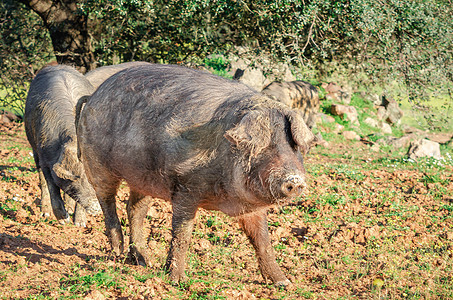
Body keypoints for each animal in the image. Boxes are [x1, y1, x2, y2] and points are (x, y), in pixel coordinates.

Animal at [24, 64, 100, 226]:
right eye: (76, 178)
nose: (96, 207)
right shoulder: (45, 156)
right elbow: (51, 186)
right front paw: (64, 220)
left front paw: (80, 224)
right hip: (34, 146)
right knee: (41, 179)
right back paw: (45, 214)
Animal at [77, 63, 312, 286]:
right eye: (265, 146)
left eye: (293, 147)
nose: (295, 180)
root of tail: (94, 96)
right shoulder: (185, 186)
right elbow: (182, 234)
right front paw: (177, 281)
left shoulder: (252, 207)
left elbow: (262, 240)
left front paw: (283, 282)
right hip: (97, 164)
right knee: (107, 203)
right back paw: (117, 253)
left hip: (142, 178)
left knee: (135, 209)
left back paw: (144, 261)